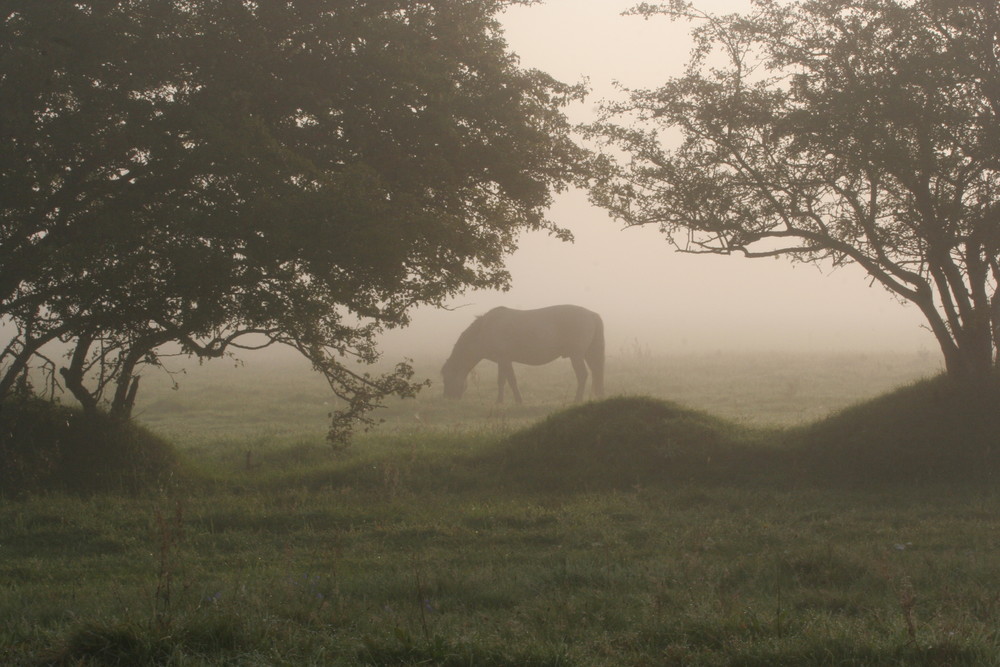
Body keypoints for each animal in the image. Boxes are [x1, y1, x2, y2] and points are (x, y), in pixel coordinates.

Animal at [442, 306, 604, 404]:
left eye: (446, 378)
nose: (448, 398)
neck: (484, 330)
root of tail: (591, 314)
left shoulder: (503, 359)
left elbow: (503, 381)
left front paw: (500, 401)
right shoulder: (506, 360)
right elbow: (510, 380)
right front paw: (516, 400)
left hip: (576, 356)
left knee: (582, 376)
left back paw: (577, 400)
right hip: (587, 354)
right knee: (596, 372)